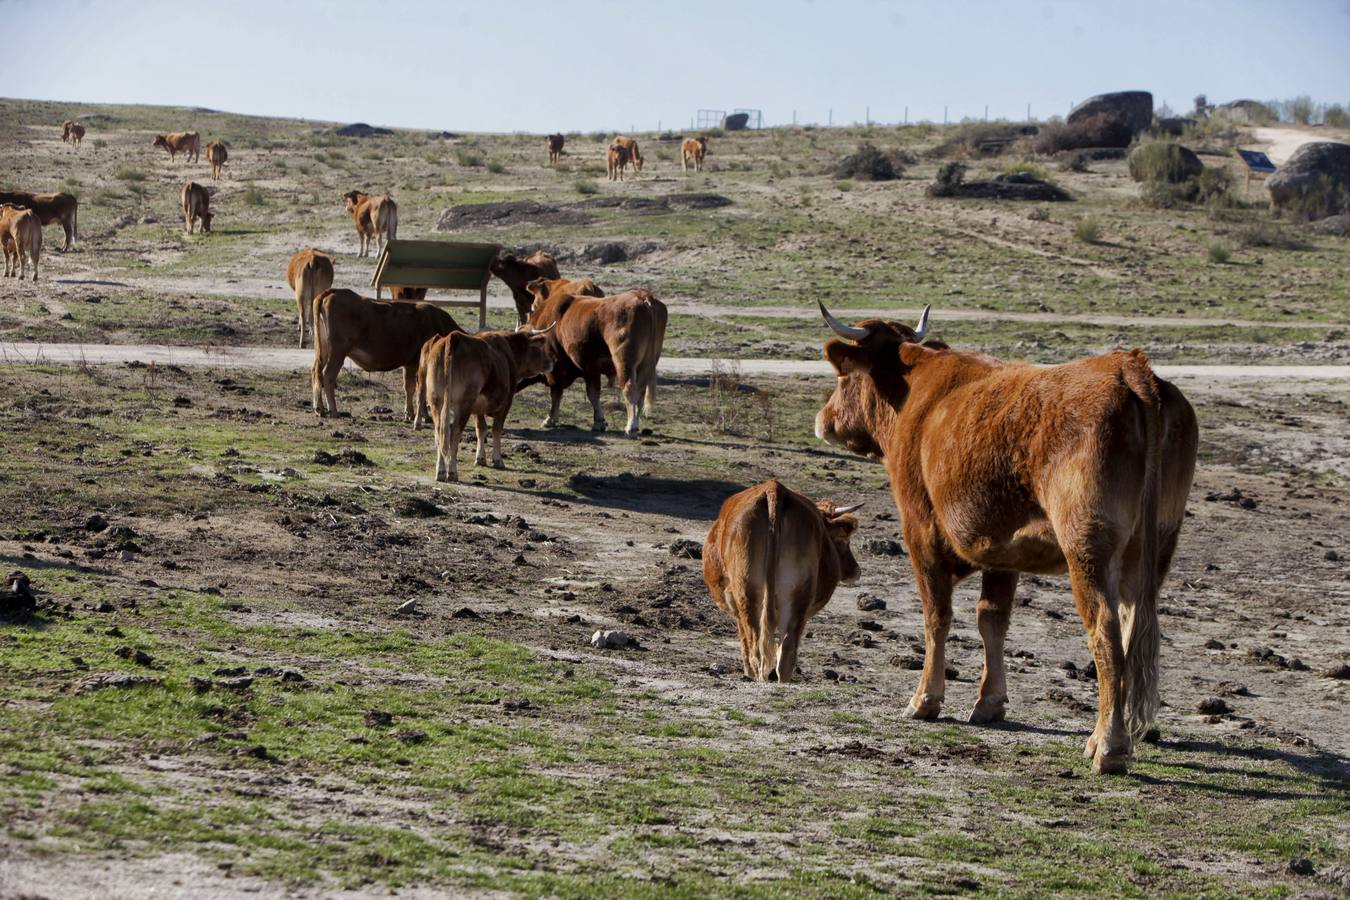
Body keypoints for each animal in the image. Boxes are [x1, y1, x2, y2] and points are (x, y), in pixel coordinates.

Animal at [311, 288, 461, 421]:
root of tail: (335, 291)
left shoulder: (409, 364)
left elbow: (411, 387)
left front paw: (413, 414)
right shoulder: (415, 363)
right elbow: (417, 388)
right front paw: (417, 415)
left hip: (323, 349)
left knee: (316, 372)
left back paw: (319, 409)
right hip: (337, 351)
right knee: (328, 375)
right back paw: (334, 411)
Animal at [416, 325, 555, 482]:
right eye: (541, 347)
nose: (552, 362)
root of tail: (453, 337)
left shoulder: (477, 408)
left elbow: (481, 429)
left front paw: (480, 458)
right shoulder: (506, 402)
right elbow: (496, 429)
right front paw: (497, 459)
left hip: (436, 403)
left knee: (439, 433)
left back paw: (440, 471)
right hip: (463, 404)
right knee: (455, 433)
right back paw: (452, 472)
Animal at [522, 277, 667, 435]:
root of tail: (643, 297)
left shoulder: (556, 369)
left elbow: (556, 393)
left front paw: (550, 419)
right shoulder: (590, 369)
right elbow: (593, 394)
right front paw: (599, 422)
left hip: (624, 363)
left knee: (629, 389)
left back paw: (631, 425)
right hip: (646, 365)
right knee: (640, 391)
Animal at [704, 480, 862, 682]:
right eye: (844, 540)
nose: (856, 570)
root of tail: (774, 489)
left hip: (747, 593)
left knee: (757, 650)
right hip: (797, 595)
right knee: (785, 652)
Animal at [813, 302, 1199, 774]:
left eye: (842, 377)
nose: (823, 421)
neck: (916, 397)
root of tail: (1127, 367)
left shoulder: (920, 532)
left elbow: (936, 616)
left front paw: (925, 699)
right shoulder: (1002, 550)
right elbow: (991, 619)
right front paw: (990, 702)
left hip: (1087, 549)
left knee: (1105, 634)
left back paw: (1108, 745)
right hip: (1153, 550)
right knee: (1129, 630)